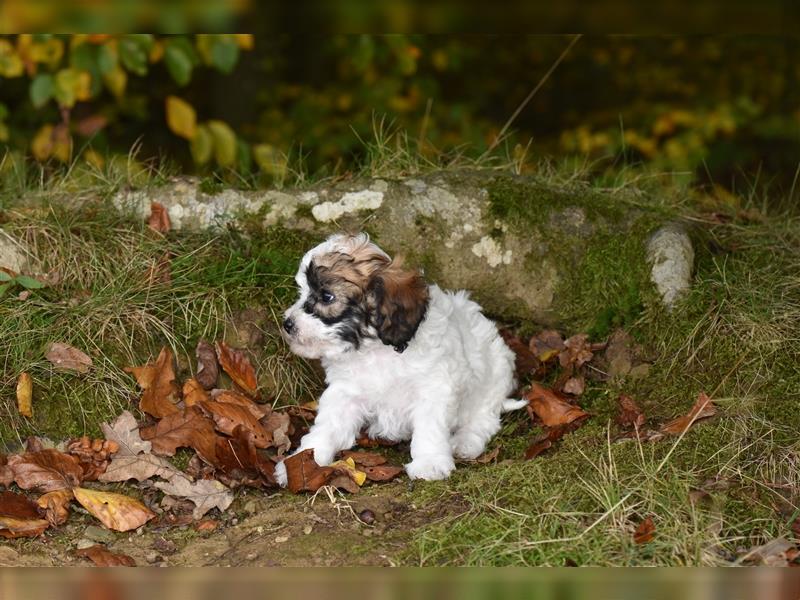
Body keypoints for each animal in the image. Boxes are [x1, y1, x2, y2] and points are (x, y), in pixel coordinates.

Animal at [276, 232, 524, 486]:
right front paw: (304, 461)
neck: (377, 350)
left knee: (483, 420)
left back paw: (466, 442)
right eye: (301, 291)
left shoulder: (433, 388)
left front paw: (429, 463)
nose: (287, 324)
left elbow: (429, 427)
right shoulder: (345, 392)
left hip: (493, 378)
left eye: (327, 296)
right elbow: (328, 425)